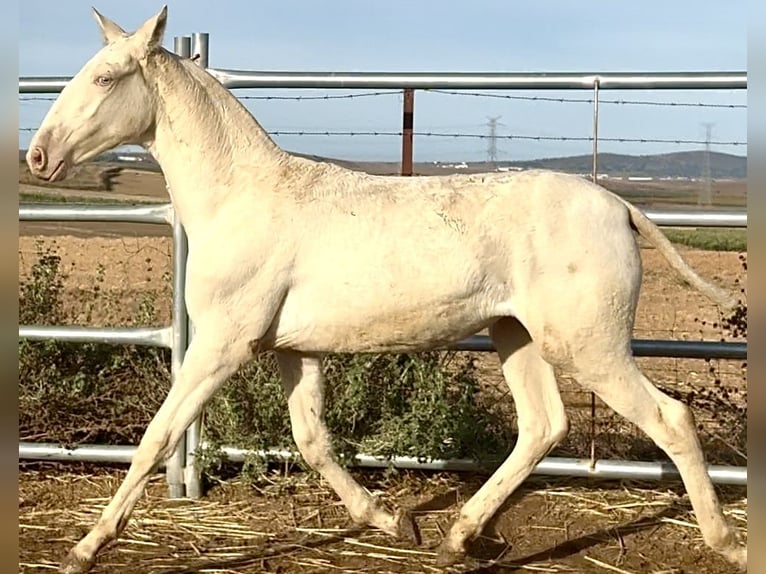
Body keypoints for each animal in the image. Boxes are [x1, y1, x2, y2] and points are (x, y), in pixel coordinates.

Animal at [26, 6, 746, 573]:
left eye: (105, 77)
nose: (38, 155)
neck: (241, 199)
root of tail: (620, 206)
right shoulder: (294, 349)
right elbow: (313, 440)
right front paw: (395, 521)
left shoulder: (223, 344)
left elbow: (158, 436)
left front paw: (85, 548)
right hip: (517, 335)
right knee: (544, 425)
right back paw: (459, 536)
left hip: (588, 346)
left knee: (670, 420)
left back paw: (728, 543)